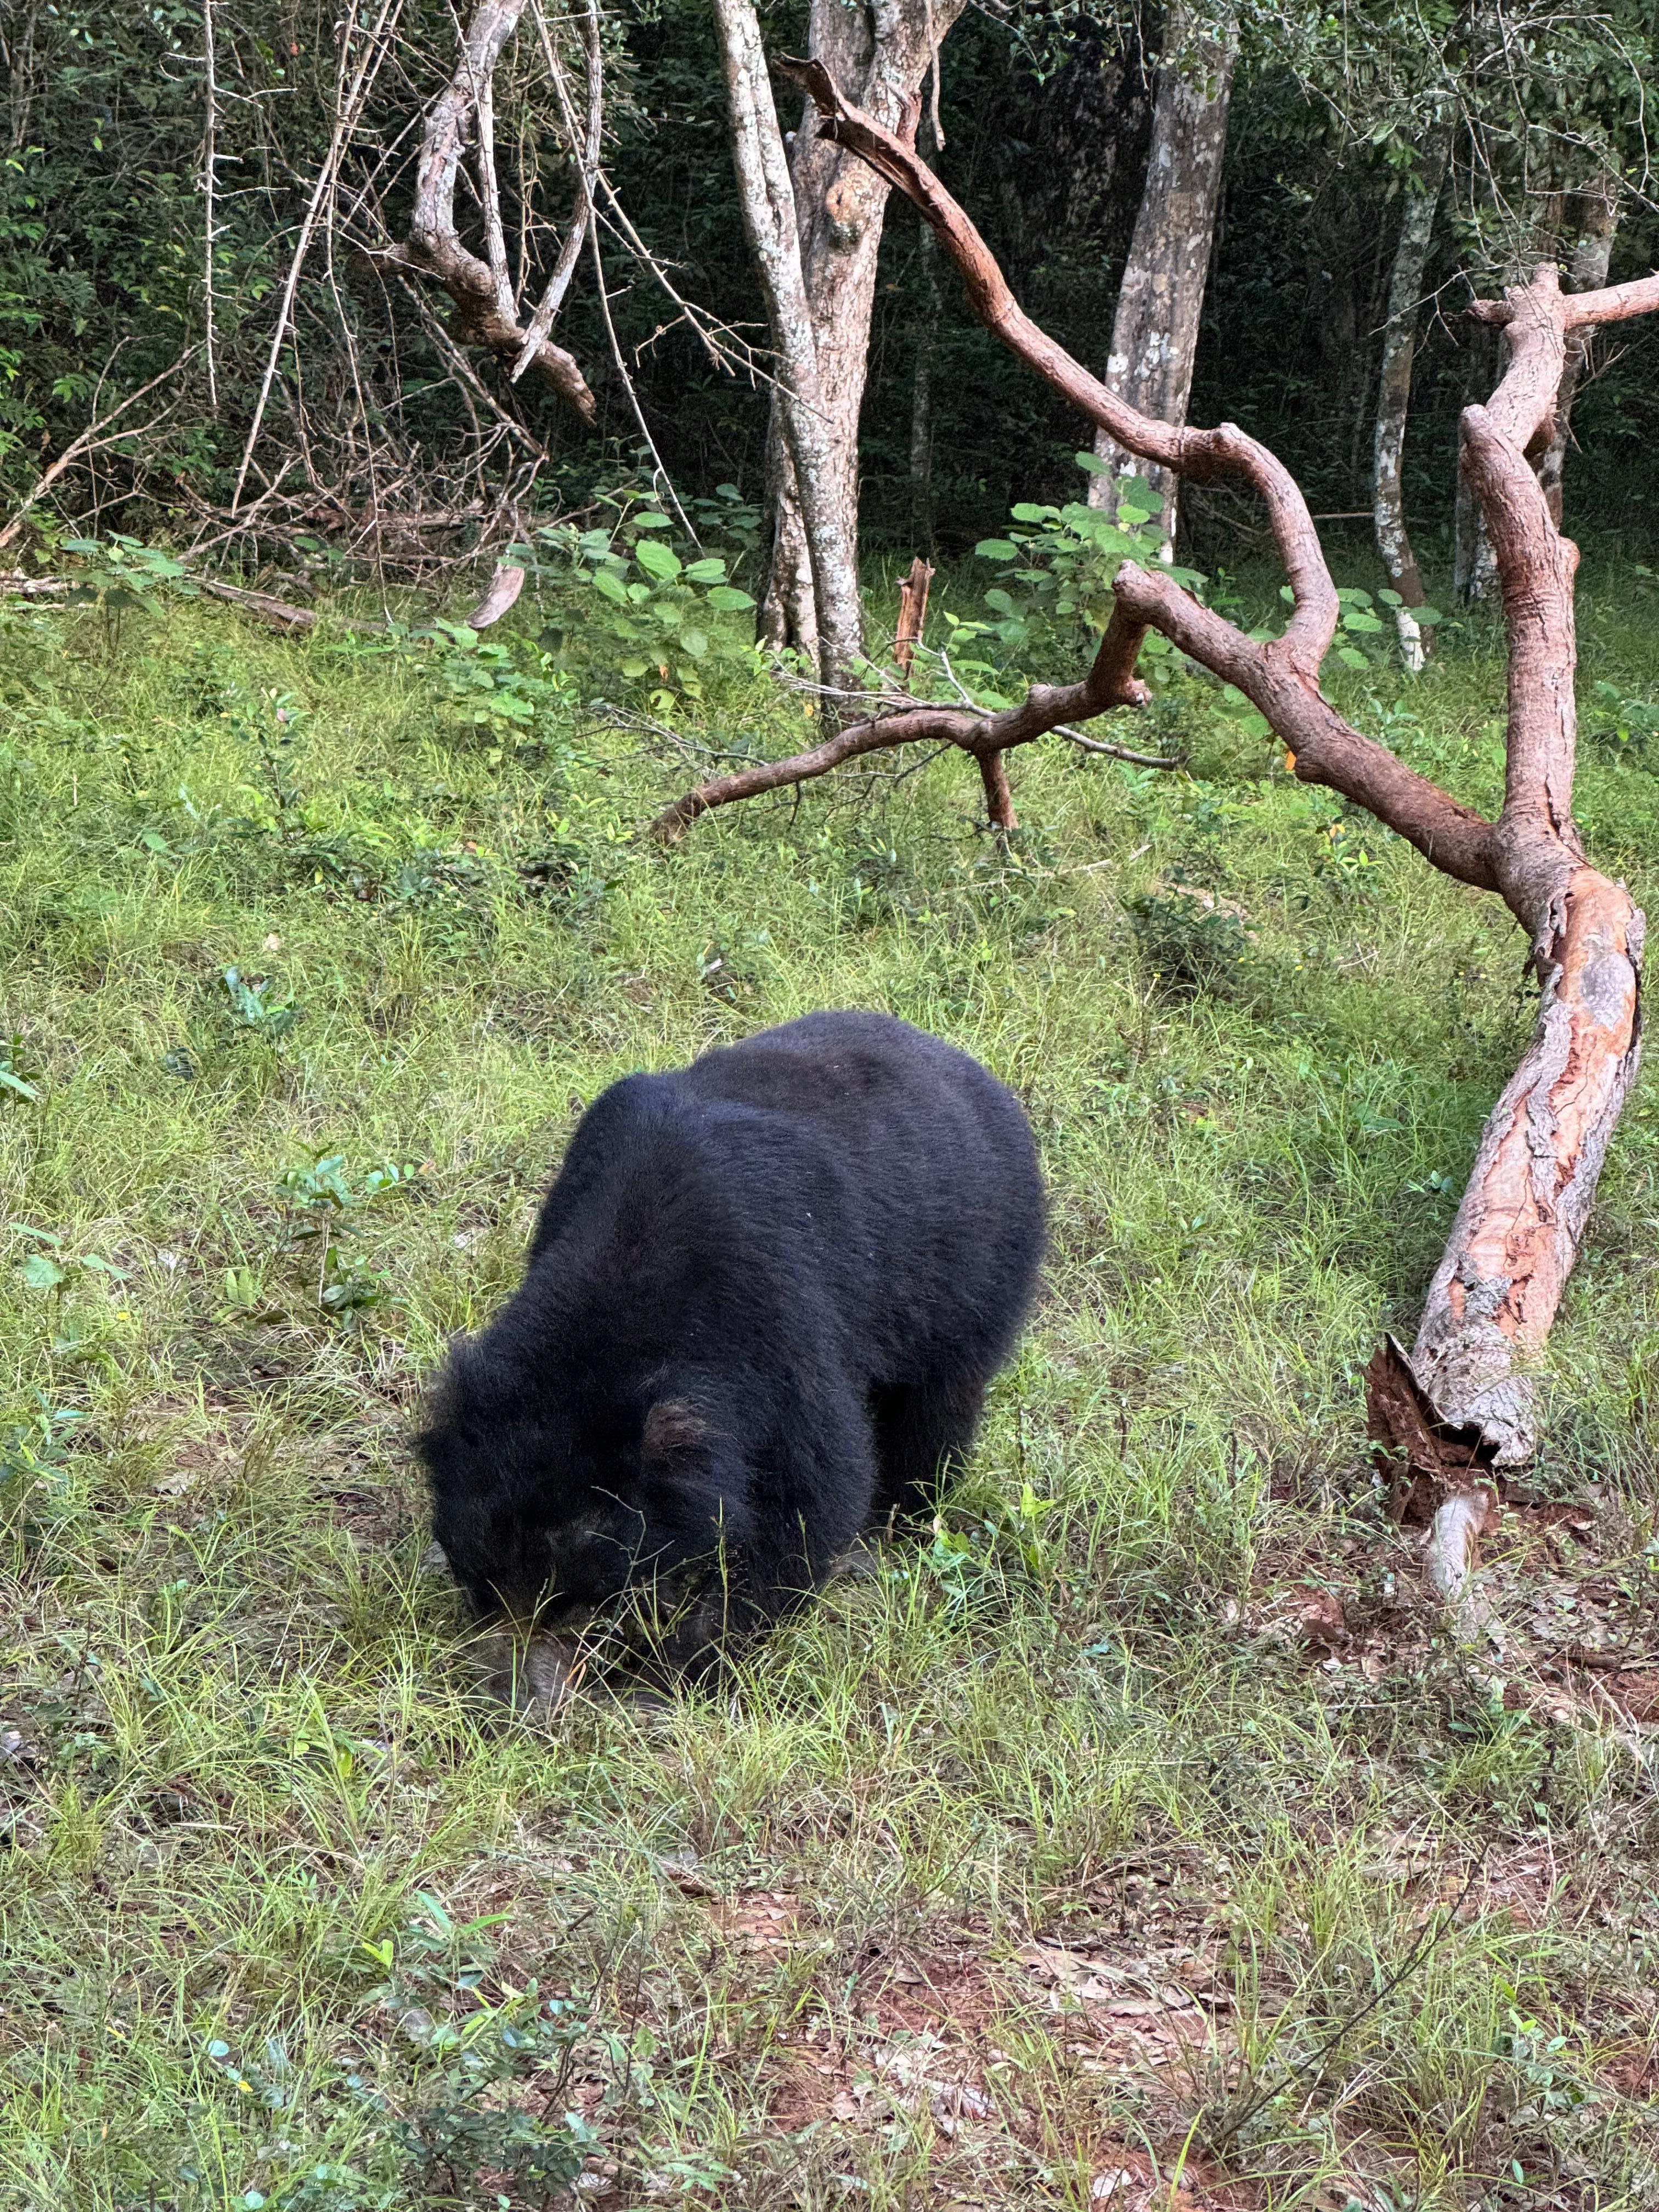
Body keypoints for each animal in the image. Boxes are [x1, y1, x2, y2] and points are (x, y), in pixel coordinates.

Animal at [418, 1013, 1040, 1681]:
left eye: (578, 1589)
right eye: (477, 1575)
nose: (516, 1675)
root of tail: (962, 1064)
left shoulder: (776, 1317)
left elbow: (815, 1484)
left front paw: (683, 1663)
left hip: (972, 1274)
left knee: (937, 1407)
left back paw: (897, 1521)